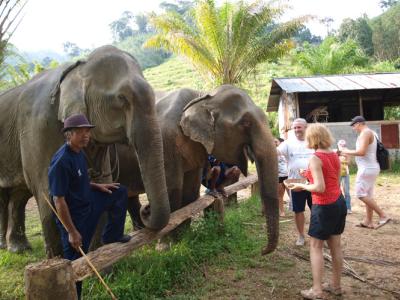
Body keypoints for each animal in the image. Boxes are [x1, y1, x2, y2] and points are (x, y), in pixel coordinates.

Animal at [0, 45, 170, 256]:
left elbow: (103, 184)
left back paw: (18, 248)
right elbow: (49, 195)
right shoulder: (38, 130)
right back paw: (10, 247)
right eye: (121, 98)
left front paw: (97, 255)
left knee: (18, 196)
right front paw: (63, 260)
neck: (78, 69)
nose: (147, 209)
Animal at [116, 85, 278, 254]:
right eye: (245, 123)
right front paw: (165, 247)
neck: (202, 97)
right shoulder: (164, 141)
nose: (262, 250)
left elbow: (190, 192)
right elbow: (171, 189)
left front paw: (183, 238)